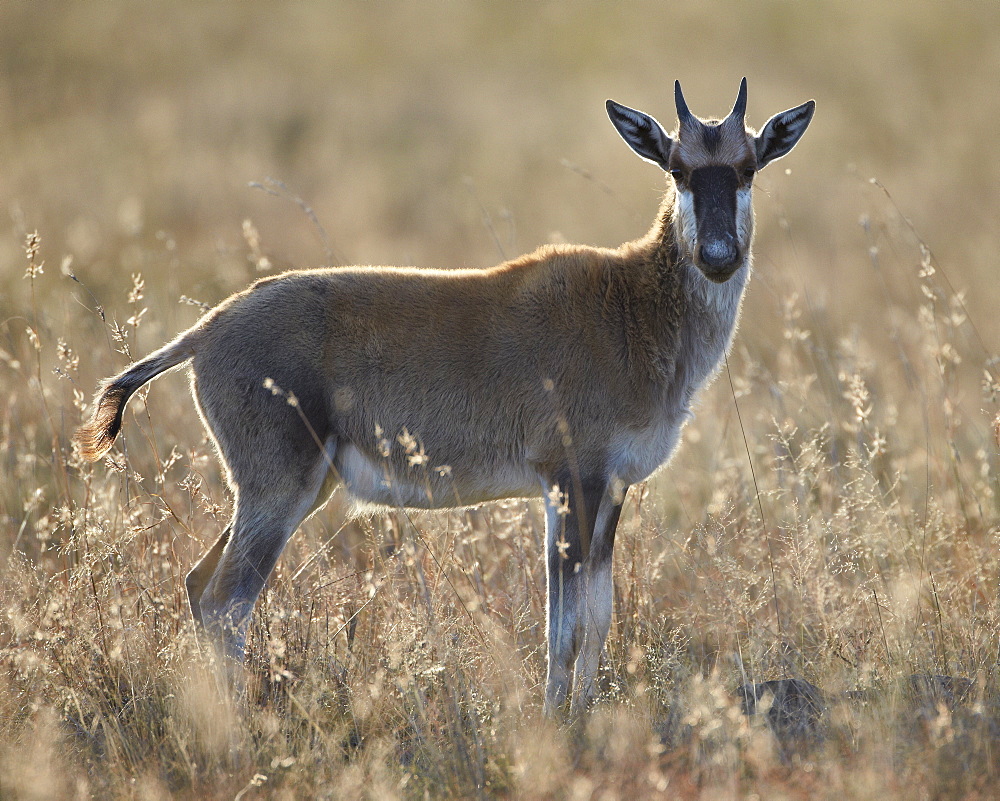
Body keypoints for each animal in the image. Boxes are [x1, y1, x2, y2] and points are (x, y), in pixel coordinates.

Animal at [78, 81, 812, 716]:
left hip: (291, 492)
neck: (628, 303)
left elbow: (598, 618)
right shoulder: (569, 483)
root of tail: (206, 330)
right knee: (227, 601)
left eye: (746, 167)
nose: (717, 256)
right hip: (276, 492)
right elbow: (565, 625)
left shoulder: (608, 491)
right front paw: (557, 721)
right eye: (679, 169)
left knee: (201, 587)